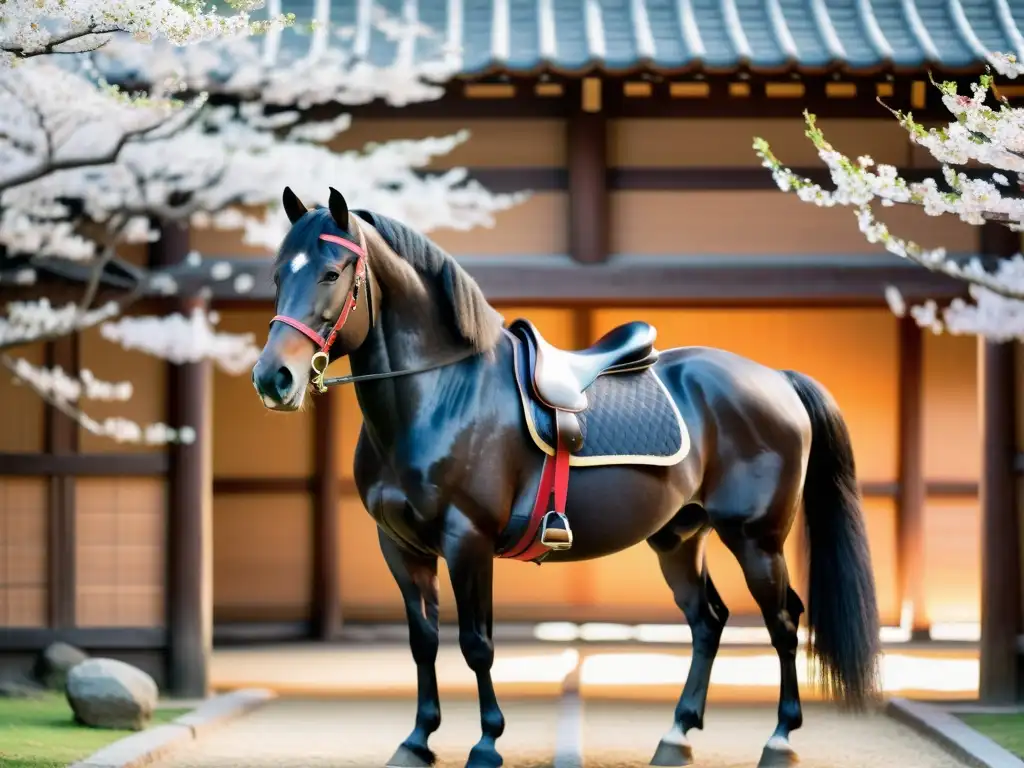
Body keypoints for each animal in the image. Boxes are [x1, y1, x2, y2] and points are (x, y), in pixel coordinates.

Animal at [253, 188, 880, 768]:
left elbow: (476, 644)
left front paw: (486, 743)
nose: (272, 377)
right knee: (708, 621)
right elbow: (423, 641)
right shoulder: (401, 547)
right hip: (679, 537)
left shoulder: (467, 541)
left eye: (332, 272)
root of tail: (776, 378)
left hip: (755, 539)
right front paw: (417, 740)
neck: (439, 395)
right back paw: (677, 735)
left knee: (783, 620)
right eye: (279, 274)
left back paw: (780, 738)